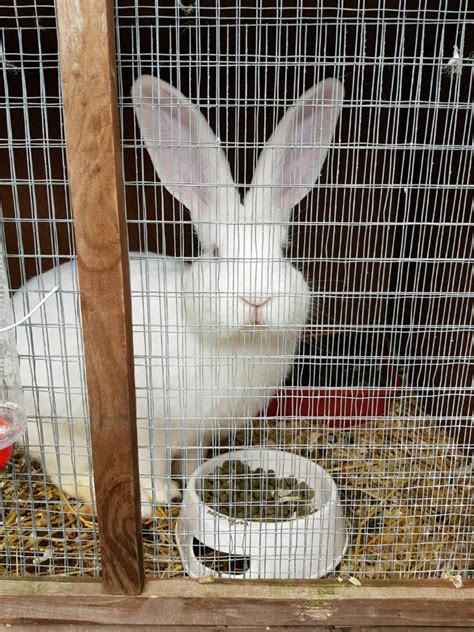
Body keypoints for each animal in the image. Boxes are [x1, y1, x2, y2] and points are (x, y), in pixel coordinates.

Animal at [13, 75, 340, 520]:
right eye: (216, 253)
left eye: (282, 251)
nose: (256, 300)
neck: (237, 343)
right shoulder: (152, 428)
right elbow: (152, 462)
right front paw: (160, 493)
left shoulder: (195, 433)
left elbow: (193, 459)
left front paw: (192, 482)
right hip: (61, 424)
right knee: (59, 464)